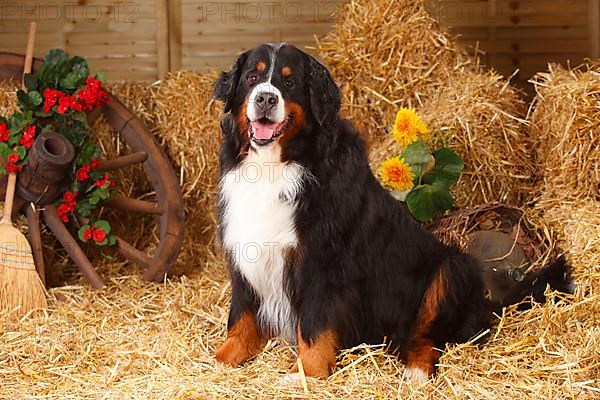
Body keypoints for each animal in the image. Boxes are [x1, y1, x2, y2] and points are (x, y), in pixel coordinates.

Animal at [214, 43, 568, 382]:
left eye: (289, 82)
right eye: (252, 78)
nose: (265, 98)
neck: (275, 166)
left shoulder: (321, 262)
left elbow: (313, 325)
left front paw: (306, 373)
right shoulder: (245, 249)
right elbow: (241, 315)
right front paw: (224, 358)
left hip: (448, 267)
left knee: (428, 338)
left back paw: (416, 372)